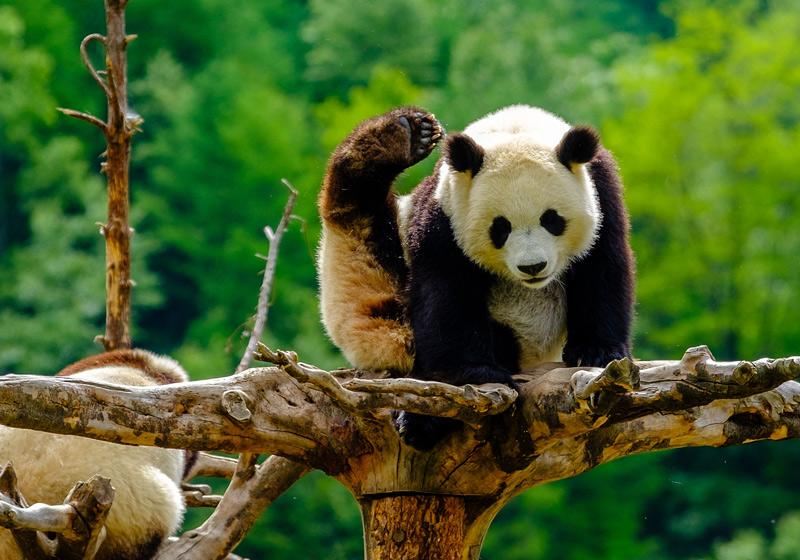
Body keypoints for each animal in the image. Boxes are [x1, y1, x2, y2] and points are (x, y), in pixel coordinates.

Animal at [318, 105, 634, 449]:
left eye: (552, 220)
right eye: (500, 228)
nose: (532, 267)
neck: (514, 129)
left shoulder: (601, 191)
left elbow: (601, 268)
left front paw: (596, 350)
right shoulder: (444, 213)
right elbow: (447, 294)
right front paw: (476, 372)